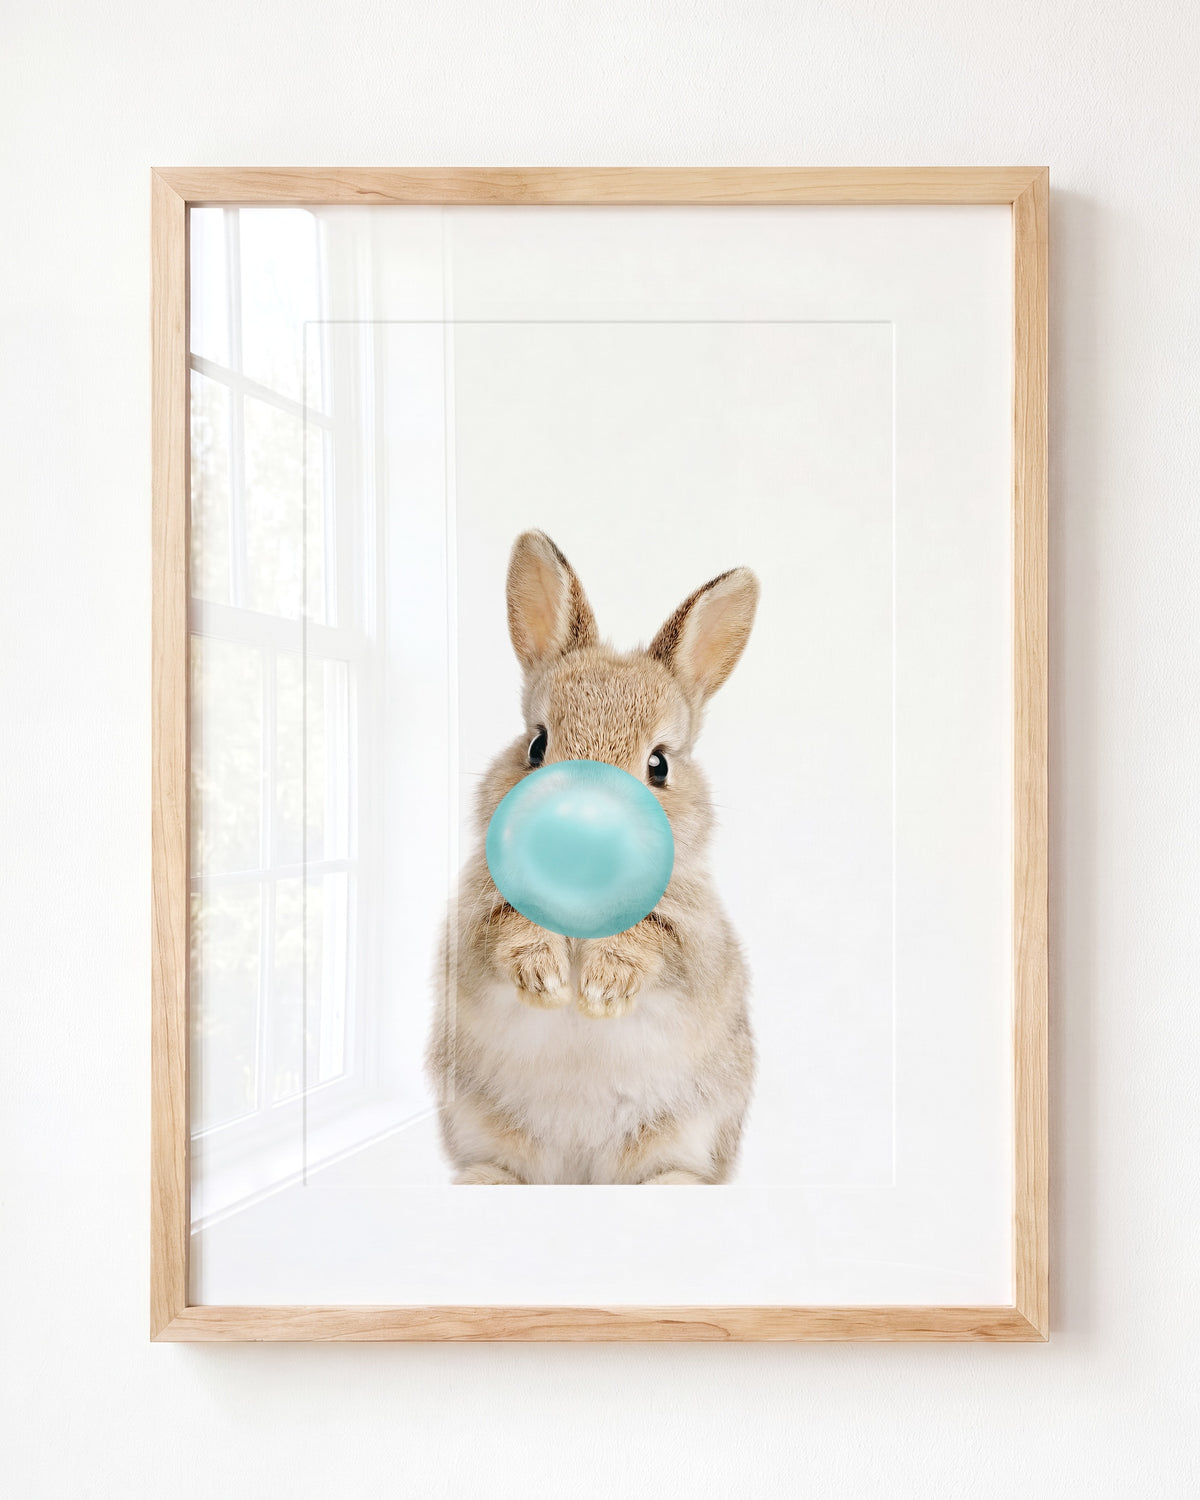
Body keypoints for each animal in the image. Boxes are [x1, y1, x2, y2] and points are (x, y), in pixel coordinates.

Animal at [427, 530, 759, 1184]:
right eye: (536, 745)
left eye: (659, 764)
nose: (580, 826)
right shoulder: (473, 926)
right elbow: (506, 931)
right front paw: (548, 980)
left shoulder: (695, 942)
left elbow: (653, 940)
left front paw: (601, 991)